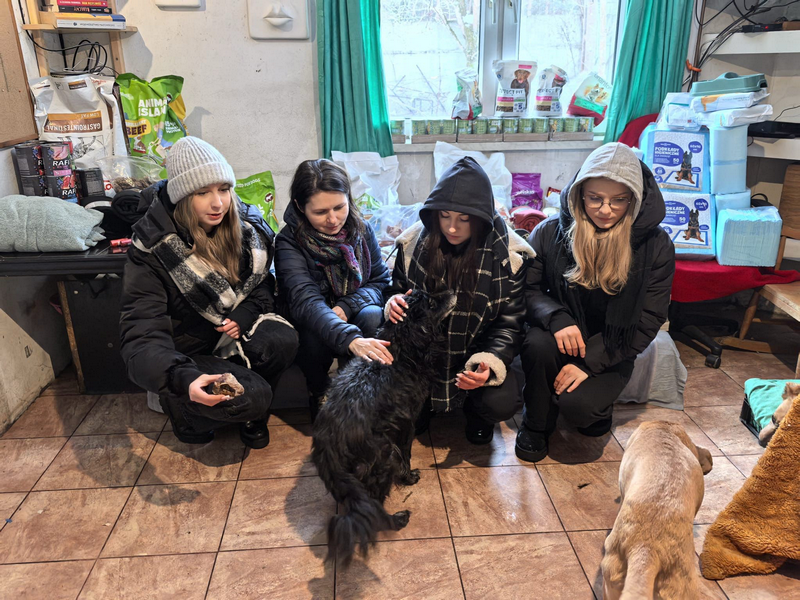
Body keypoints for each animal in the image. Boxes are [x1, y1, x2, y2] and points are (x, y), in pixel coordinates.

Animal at [311, 290, 456, 567]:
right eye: (432, 303)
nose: (453, 292)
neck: (401, 351)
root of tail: (330, 443)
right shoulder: (406, 424)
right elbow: (407, 456)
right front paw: (410, 478)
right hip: (384, 459)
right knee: (374, 510)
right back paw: (397, 519)